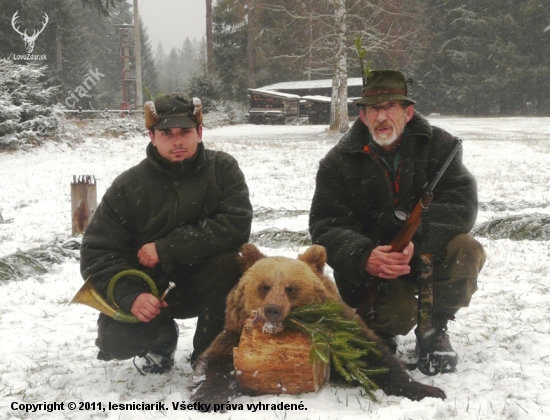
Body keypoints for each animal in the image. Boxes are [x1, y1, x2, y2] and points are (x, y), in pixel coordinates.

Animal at [192, 243, 446, 404]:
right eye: (264, 286)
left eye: (291, 288)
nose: (273, 309)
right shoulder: (236, 336)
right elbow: (216, 364)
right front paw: (207, 395)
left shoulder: (344, 331)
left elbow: (374, 358)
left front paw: (430, 390)